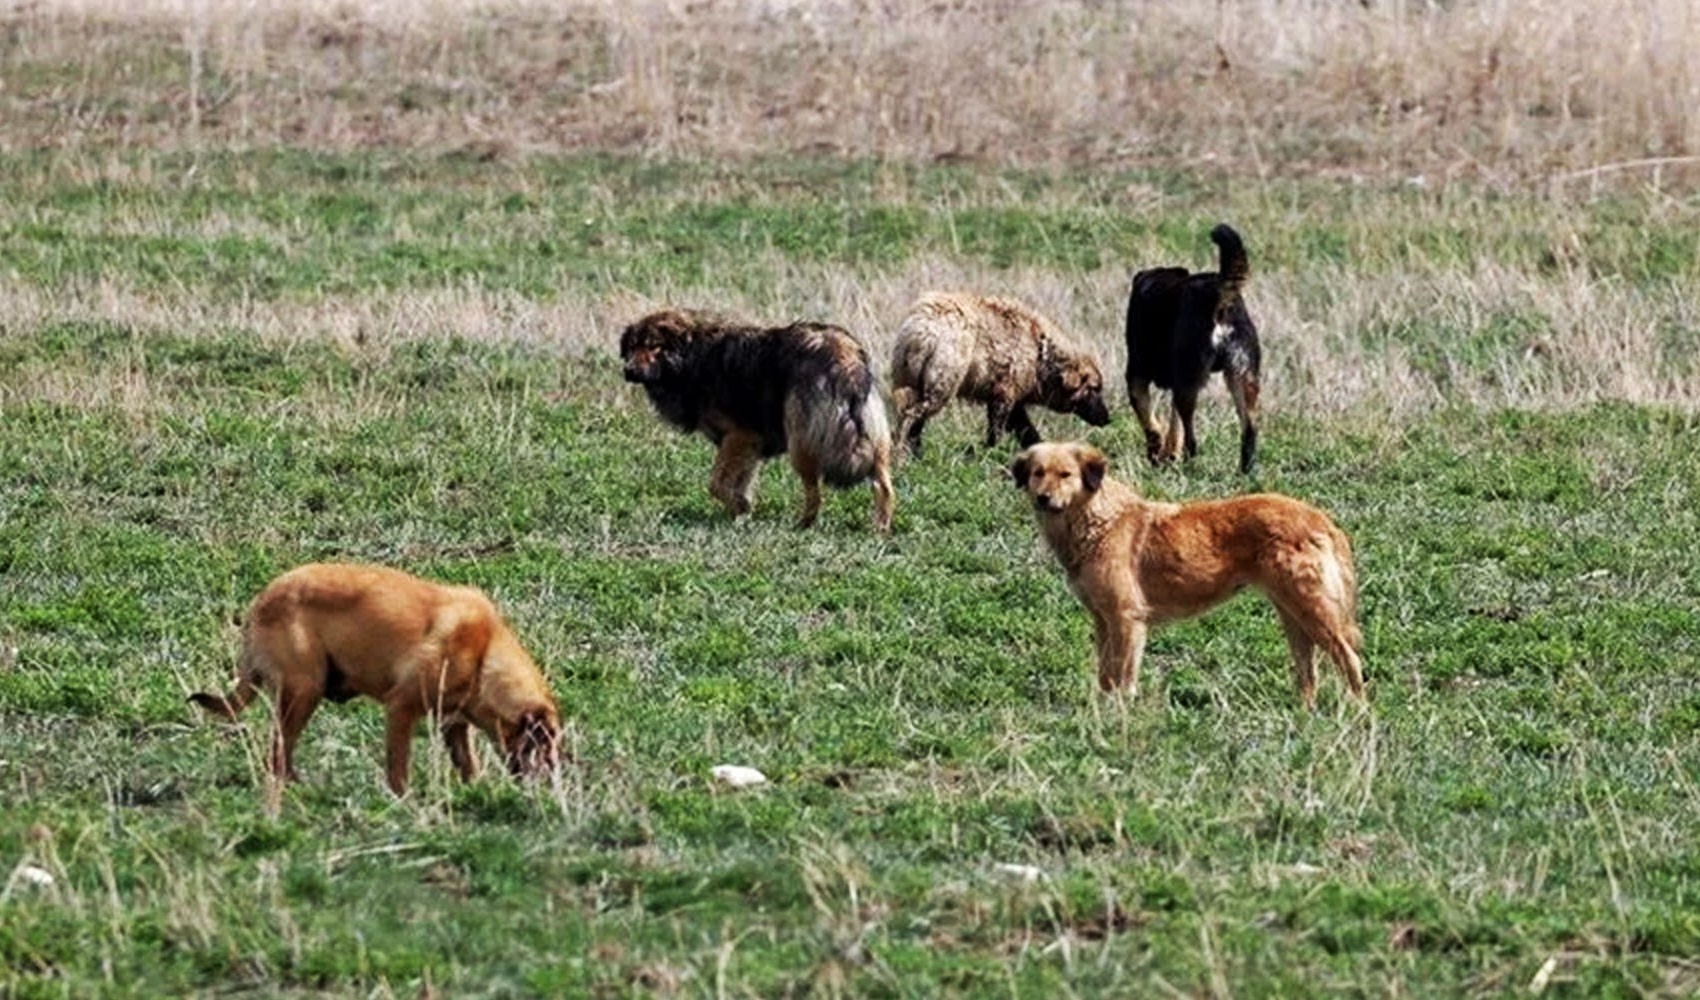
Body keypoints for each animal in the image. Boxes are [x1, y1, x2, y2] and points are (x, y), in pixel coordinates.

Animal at [187, 568, 561, 792]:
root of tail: (260, 603)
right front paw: (403, 801)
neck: (485, 655)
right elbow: (398, 767)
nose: (555, 781)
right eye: (546, 744)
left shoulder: (453, 724)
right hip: (305, 690)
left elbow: (468, 764)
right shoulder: (401, 709)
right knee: (278, 751)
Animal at [618, 311, 897, 530]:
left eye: (654, 346)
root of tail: (845, 355)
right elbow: (739, 484)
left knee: (815, 493)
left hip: (801, 444)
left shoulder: (739, 437)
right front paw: (740, 515)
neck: (693, 357)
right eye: (632, 347)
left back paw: (803, 524)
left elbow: (716, 484)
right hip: (875, 441)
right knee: (883, 486)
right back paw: (880, 528)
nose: (629, 371)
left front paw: (741, 508)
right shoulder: (749, 446)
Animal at [890, 290, 1115, 459]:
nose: (1107, 418)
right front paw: (992, 452)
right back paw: (903, 454)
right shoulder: (1005, 390)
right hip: (944, 376)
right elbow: (999, 427)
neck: (1040, 357)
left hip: (909, 375)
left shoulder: (1014, 395)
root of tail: (921, 329)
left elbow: (1026, 430)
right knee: (913, 414)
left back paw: (914, 452)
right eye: (1095, 389)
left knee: (914, 416)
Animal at [1006, 442, 1366, 707]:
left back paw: (1357, 711)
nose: (1042, 498)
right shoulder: (1103, 620)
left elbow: (1123, 675)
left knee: (1351, 660)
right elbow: (1105, 674)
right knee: (1309, 673)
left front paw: (1120, 712)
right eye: (1038, 473)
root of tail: (1321, 519)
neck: (1098, 520)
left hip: (1313, 611)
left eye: (1065, 474)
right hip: (1293, 615)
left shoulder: (1126, 619)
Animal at [1128, 224, 1264, 476]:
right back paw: (1244, 472)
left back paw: (1189, 465)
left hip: (1188, 381)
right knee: (1249, 430)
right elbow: (1173, 428)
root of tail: (1220, 295)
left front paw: (1156, 453)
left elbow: (1150, 422)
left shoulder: (1136, 374)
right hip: (1243, 378)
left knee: (1192, 438)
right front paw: (1167, 454)